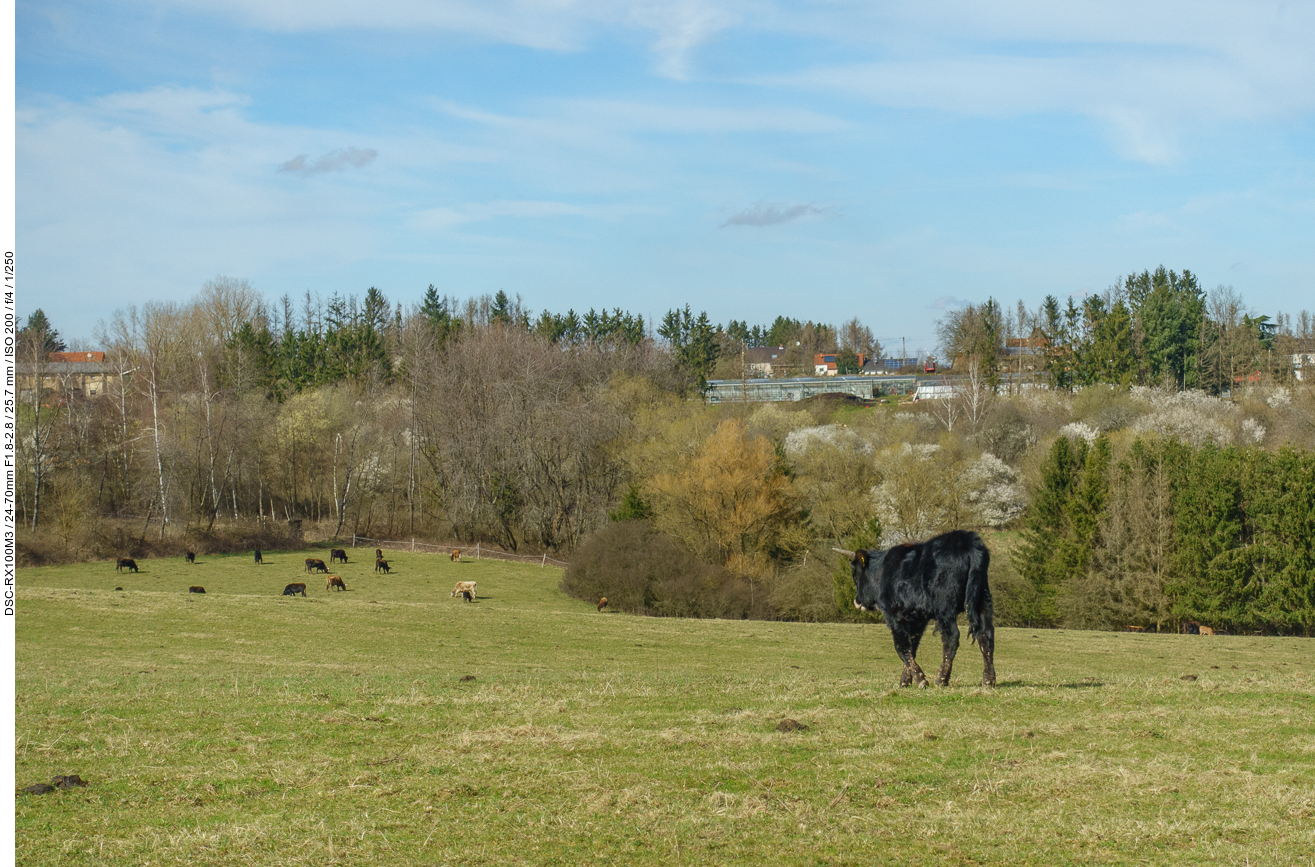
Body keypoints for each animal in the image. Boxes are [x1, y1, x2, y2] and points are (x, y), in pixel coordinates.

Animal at [841, 528, 994, 689]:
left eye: (855, 575)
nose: (857, 602)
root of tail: (966, 538)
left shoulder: (894, 614)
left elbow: (901, 646)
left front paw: (920, 679)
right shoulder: (918, 618)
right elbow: (912, 646)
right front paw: (906, 680)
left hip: (945, 607)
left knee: (952, 636)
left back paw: (942, 679)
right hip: (982, 600)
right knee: (986, 634)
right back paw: (988, 680)